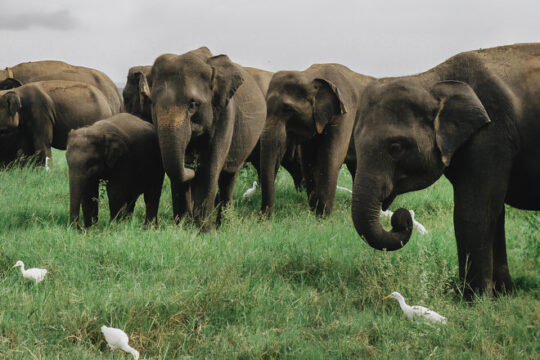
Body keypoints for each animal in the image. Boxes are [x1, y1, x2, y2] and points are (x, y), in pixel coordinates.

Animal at [147, 47, 266, 228]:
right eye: (152, 103)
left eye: (193, 104)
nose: (190, 165)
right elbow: (176, 173)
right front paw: (182, 228)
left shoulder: (225, 113)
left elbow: (210, 168)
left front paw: (202, 231)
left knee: (228, 177)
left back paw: (224, 225)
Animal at [260, 64, 374, 217]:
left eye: (288, 109)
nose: (262, 218)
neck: (310, 75)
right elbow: (308, 161)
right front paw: (314, 211)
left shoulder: (344, 113)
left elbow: (330, 159)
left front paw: (322, 216)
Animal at [350, 42, 540, 296]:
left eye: (396, 147)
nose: (401, 218)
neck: (430, 79)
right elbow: (495, 212)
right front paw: (503, 294)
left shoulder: (491, 135)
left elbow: (474, 211)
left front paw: (474, 299)